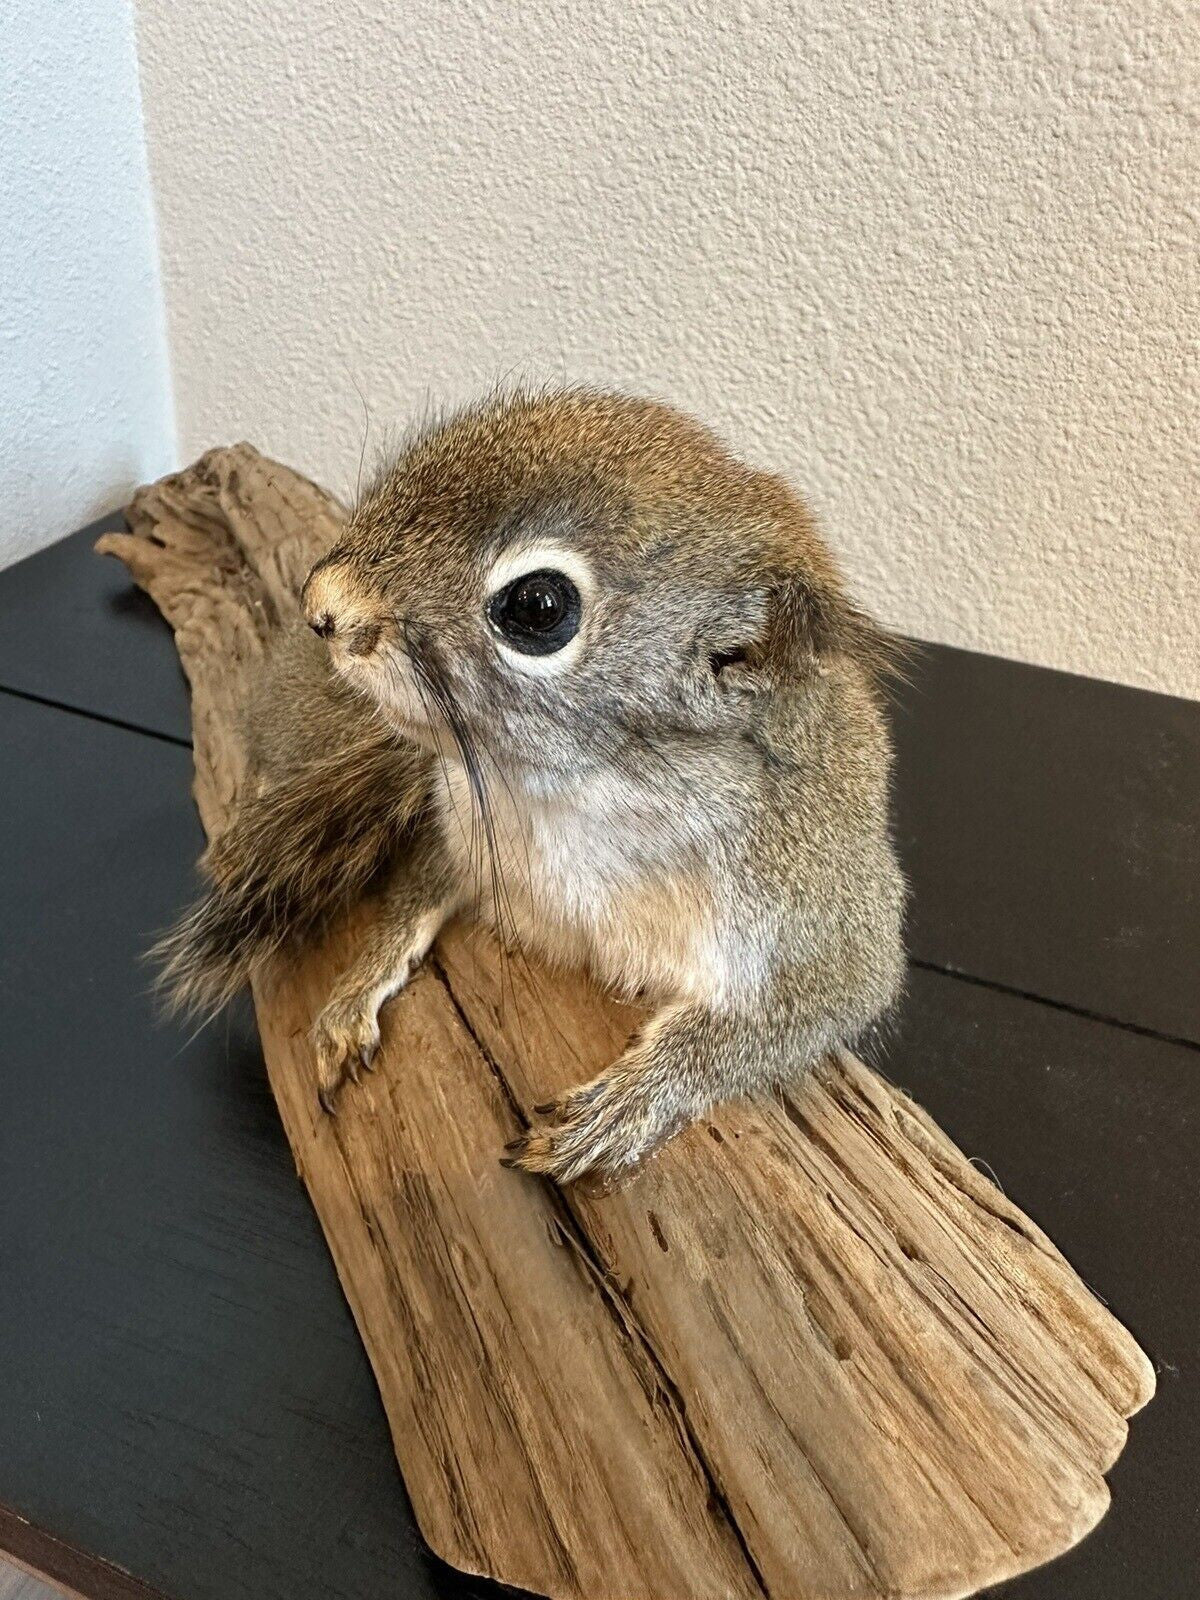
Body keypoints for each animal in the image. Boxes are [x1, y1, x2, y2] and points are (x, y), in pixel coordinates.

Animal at [157, 387, 905, 1183]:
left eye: (537, 607)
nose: (321, 607)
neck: (573, 784)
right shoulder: (461, 825)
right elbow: (415, 893)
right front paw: (358, 988)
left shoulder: (812, 903)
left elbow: (788, 1017)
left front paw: (628, 1103)